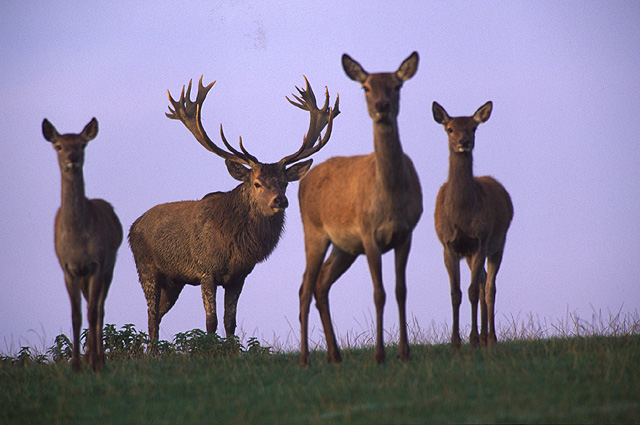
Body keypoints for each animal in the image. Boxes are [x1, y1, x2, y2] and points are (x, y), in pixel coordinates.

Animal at [42, 117, 124, 372]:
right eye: (58, 146)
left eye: (82, 145)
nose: (72, 158)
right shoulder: (68, 269)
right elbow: (76, 315)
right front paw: (77, 365)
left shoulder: (97, 264)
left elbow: (93, 312)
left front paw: (96, 362)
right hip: (85, 276)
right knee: (90, 305)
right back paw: (88, 357)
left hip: (110, 266)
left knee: (99, 308)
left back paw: (98, 359)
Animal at [129, 77, 340, 342]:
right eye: (257, 183)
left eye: (284, 182)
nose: (279, 201)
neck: (232, 245)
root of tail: (133, 226)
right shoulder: (205, 269)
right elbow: (211, 321)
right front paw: (210, 347)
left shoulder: (239, 276)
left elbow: (230, 321)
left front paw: (231, 348)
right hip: (146, 268)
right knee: (151, 315)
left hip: (174, 281)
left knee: (157, 314)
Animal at [298, 52, 422, 364]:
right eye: (366, 87)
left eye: (397, 86)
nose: (381, 106)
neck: (390, 199)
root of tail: (304, 180)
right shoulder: (369, 234)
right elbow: (379, 293)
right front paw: (379, 355)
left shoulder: (406, 234)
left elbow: (401, 290)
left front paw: (404, 353)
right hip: (314, 232)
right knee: (305, 286)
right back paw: (305, 358)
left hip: (345, 247)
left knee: (321, 284)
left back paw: (335, 355)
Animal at [432, 100, 512, 348]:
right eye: (450, 129)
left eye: (473, 128)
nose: (464, 142)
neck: (461, 216)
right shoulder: (449, 246)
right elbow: (456, 293)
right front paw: (455, 341)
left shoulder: (480, 241)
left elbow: (473, 292)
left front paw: (473, 338)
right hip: (470, 253)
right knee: (483, 281)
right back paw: (485, 337)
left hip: (498, 244)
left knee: (489, 287)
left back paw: (490, 337)